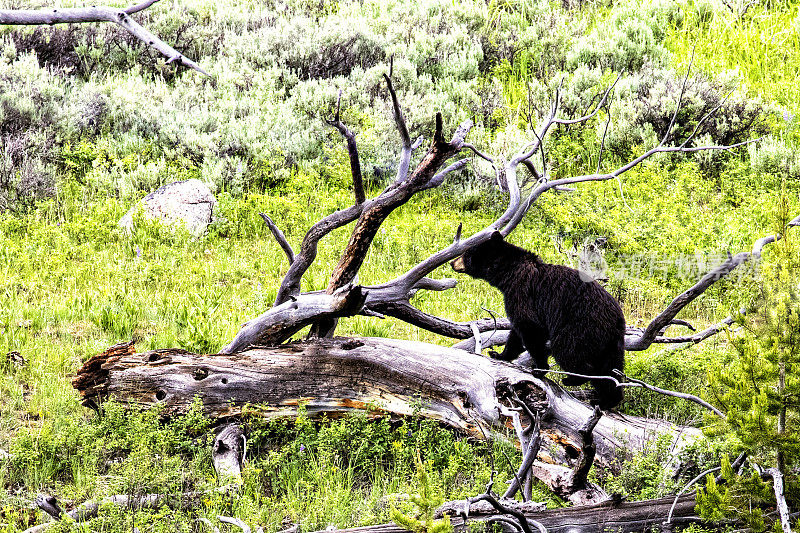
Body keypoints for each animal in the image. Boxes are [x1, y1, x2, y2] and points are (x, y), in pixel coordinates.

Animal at [450, 230, 624, 408]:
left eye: (467, 253)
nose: (452, 262)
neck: (509, 273)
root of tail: (616, 320)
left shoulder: (522, 293)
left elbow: (529, 327)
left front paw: (539, 368)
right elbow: (516, 334)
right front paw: (499, 354)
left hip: (579, 326)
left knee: (569, 351)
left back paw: (572, 379)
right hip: (610, 343)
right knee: (610, 369)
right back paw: (607, 400)